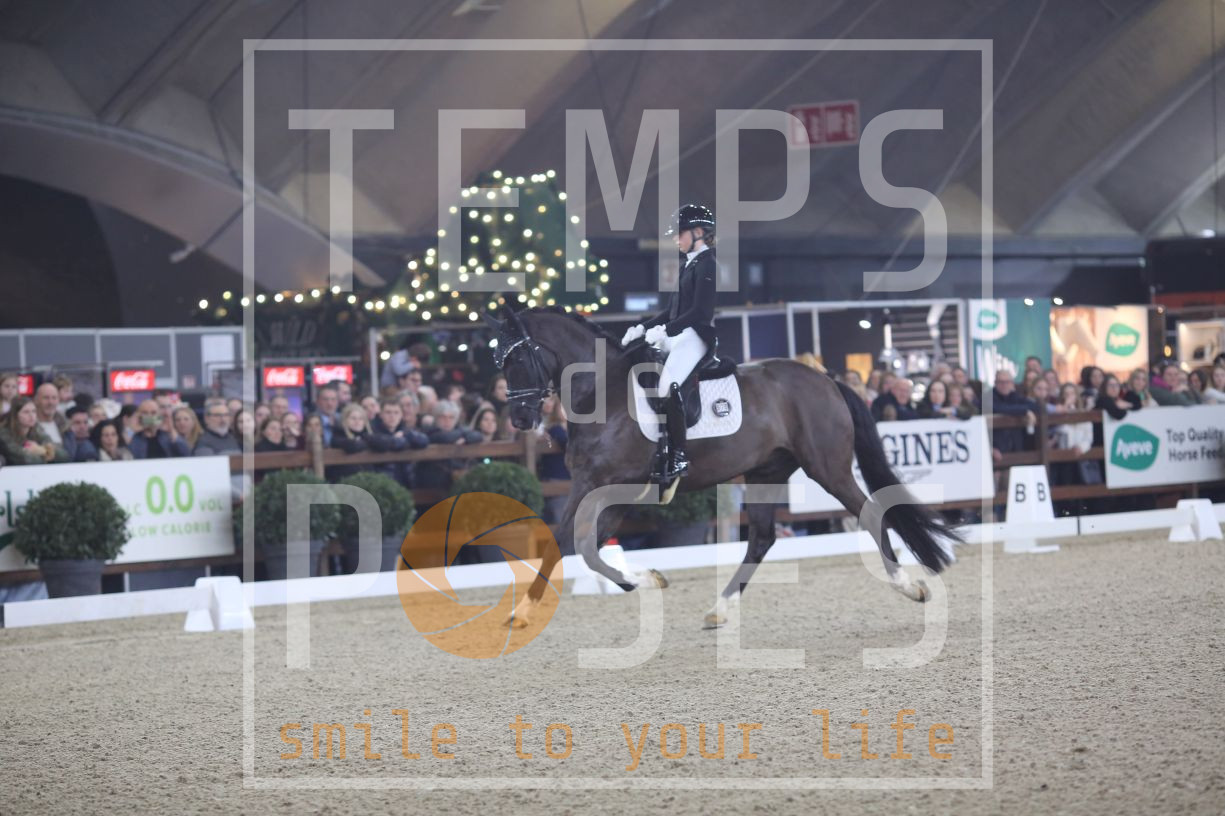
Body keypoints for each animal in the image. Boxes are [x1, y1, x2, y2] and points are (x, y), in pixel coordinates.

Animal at [484, 306, 957, 629]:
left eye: (516, 360)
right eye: (499, 363)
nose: (520, 420)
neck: (603, 391)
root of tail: (825, 379)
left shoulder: (599, 484)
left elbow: (564, 542)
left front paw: (522, 612)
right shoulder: (617, 491)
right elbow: (588, 547)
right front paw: (646, 579)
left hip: (828, 469)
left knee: (872, 515)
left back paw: (910, 587)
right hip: (766, 473)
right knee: (762, 539)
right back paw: (719, 609)